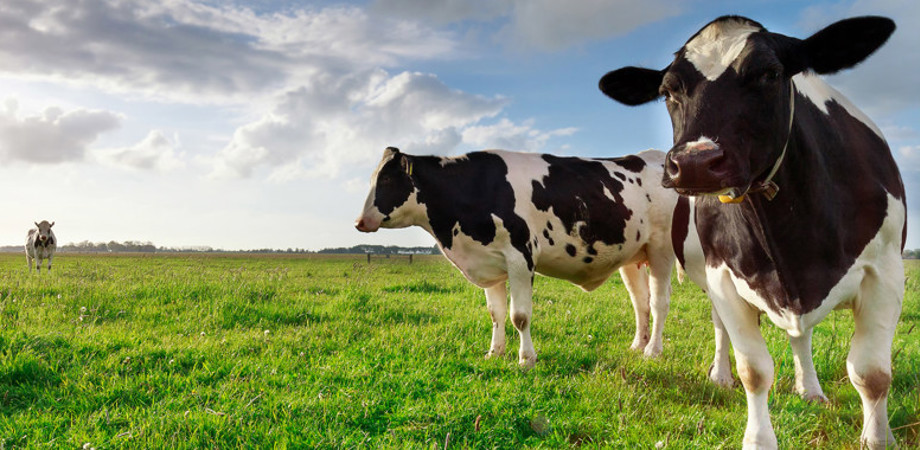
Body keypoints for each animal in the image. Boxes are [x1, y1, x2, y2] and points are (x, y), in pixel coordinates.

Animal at [356, 148, 680, 370]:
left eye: (387, 178)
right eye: (371, 178)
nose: (359, 221)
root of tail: (652, 156)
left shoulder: (521, 257)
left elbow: (519, 316)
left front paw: (526, 359)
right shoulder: (488, 262)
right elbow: (496, 313)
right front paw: (494, 352)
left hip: (661, 249)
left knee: (659, 303)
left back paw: (653, 351)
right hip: (633, 257)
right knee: (640, 303)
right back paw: (637, 345)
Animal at [596, 14, 904, 450]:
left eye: (769, 73)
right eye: (668, 90)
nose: (695, 163)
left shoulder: (886, 274)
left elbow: (872, 375)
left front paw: (877, 437)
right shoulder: (724, 278)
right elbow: (754, 371)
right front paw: (757, 434)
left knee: (801, 338)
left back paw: (810, 389)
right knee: (722, 329)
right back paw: (720, 375)